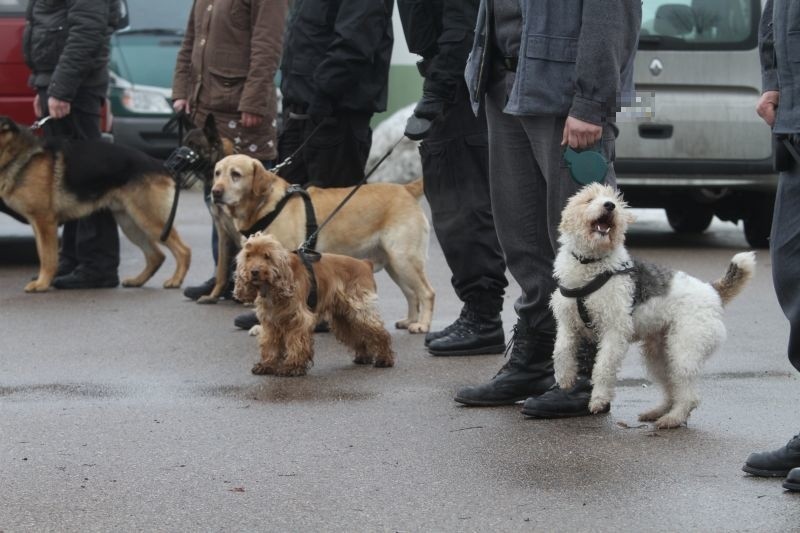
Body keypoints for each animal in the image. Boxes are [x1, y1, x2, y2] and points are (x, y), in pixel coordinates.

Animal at [0, 115, 191, 290]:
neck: (14, 152)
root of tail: (161, 164)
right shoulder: (38, 224)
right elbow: (42, 253)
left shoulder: (44, 222)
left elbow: (47, 257)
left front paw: (42, 284)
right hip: (130, 223)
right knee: (157, 256)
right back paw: (137, 280)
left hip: (150, 221)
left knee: (183, 250)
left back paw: (176, 280)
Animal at [212, 152, 434, 330]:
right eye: (217, 173)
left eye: (236, 174)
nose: (215, 192)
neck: (266, 207)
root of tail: (405, 189)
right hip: (394, 264)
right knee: (412, 294)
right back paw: (409, 320)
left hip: (404, 259)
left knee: (427, 292)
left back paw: (422, 325)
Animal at [233, 232, 396, 374]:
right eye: (248, 256)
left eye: (267, 256)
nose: (254, 271)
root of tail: (365, 264)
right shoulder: (271, 321)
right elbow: (270, 344)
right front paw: (267, 365)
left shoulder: (299, 319)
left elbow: (296, 342)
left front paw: (292, 367)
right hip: (343, 317)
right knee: (357, 335)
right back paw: (363, 357)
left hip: (361, 310)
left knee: (380, 333)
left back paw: (384, 359)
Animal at [552, 184, 752, 428]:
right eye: (589, 199)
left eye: (614, 200)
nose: (609, 205)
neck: (592, 267)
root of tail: (712, 291)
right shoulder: (567, 323)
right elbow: (561, 351)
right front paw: (565, 378)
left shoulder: (614, 331)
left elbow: (603, 367)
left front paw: (598, 399)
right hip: (659, 353)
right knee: (671, 388)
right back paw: (657, 412)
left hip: (683, 351)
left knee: (689, 395)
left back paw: (672, 419)